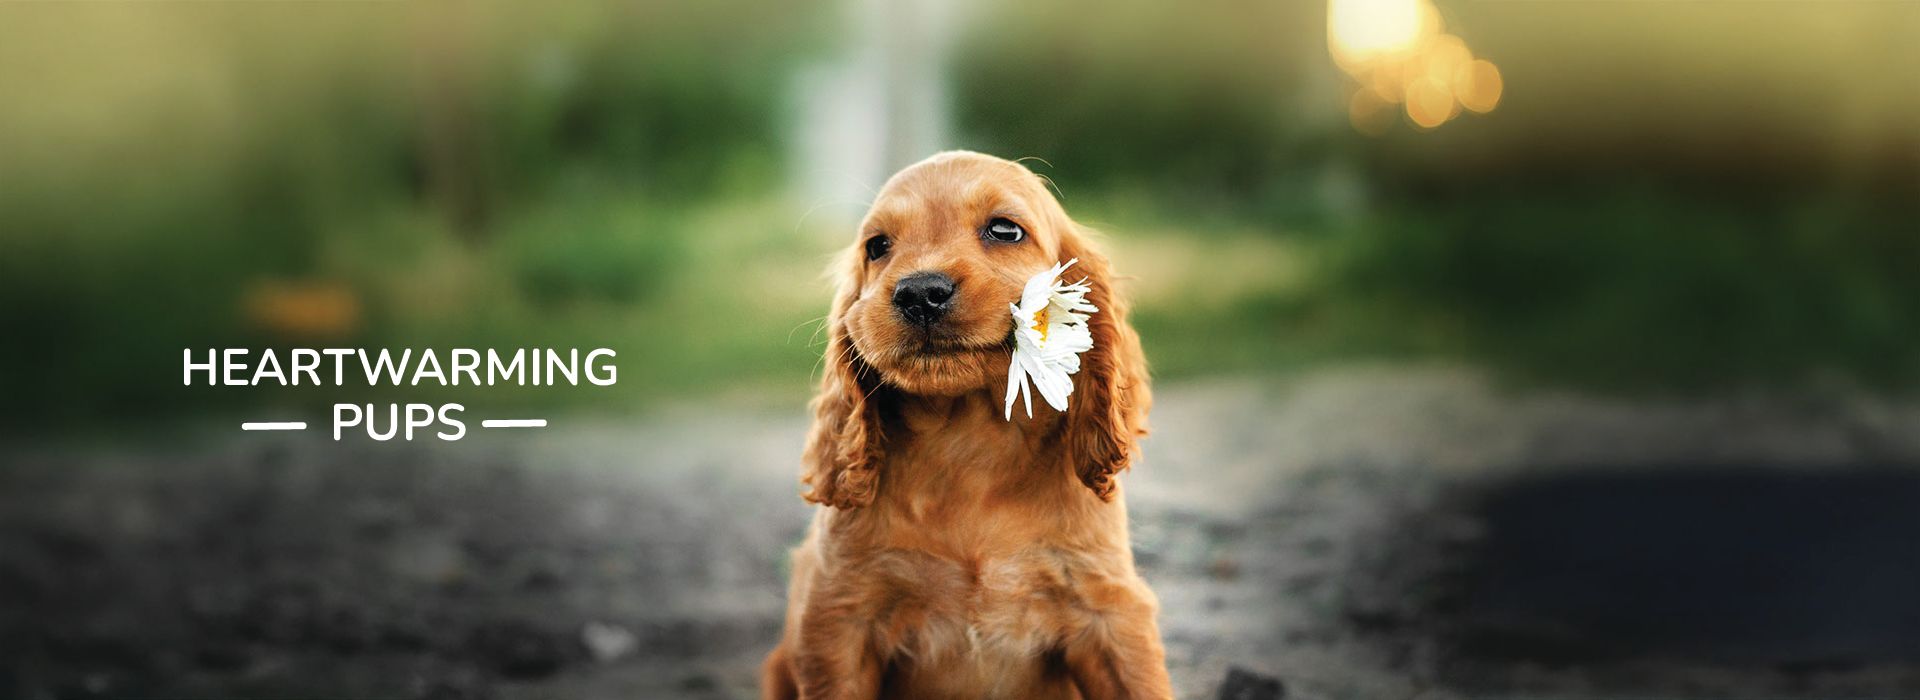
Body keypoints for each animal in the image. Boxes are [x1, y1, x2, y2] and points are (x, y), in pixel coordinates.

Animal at [764, 149, 1167, 694]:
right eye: (878, 246)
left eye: (1004, 229)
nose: (919, 292)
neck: (966, 437)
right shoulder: (838, 616)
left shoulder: (1109, 609)